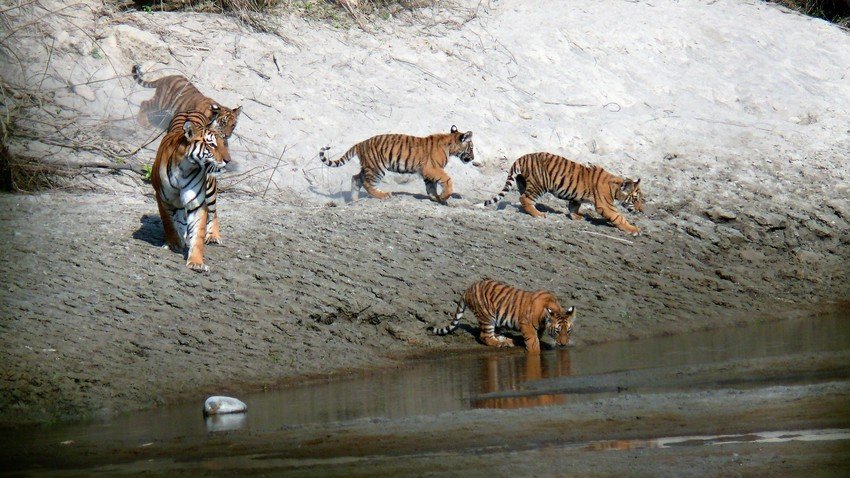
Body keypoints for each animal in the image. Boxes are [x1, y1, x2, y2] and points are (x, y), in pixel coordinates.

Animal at [152, 108, 232, 272]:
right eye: (212, 144)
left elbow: (198, 233)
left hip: (210, 188)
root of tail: (191, 109)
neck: (186, 168)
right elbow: (168, 222)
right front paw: (174, 243)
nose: (228, 160)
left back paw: (213, 236)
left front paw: (196, 262)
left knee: (214, 212)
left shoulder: (197, 204)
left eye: (224, 144)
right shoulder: (162, 198)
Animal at [320, 125, 476, 204]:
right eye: (471, 148)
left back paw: (354, 200)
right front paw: (444, 197)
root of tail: (360, 143)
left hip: (368, 167)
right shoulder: (431, 168)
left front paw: (436, 198)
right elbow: (447, 180)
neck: (450, 146)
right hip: (377, 168)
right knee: (367, 184)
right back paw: (384, 195)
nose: (473, 158)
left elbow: (431, 187)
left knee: (356, 178)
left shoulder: (428, 172)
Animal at [430, 278, 576, 352]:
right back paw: (502, 344)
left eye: (568, 331)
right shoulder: (526, 324)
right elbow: (533, 341)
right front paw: (535, 351)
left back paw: (507, 340)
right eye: (557, 331)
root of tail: (468, 289)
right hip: (487, 317)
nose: (563, 345)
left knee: (493, 334)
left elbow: (538, 337)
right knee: (484, 336)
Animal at [480, 153, 640, 235]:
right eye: (636, 199)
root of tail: (521, 158)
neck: (615, 187)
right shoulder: (605, 205)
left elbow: (574, 206)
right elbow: (619, 217)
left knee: (523, 198)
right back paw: (539, 214)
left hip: (524, 182)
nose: (641, 210)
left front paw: (577, 217)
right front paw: (634, 230)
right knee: (524, 198)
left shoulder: (576, 197)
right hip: (539, 184)